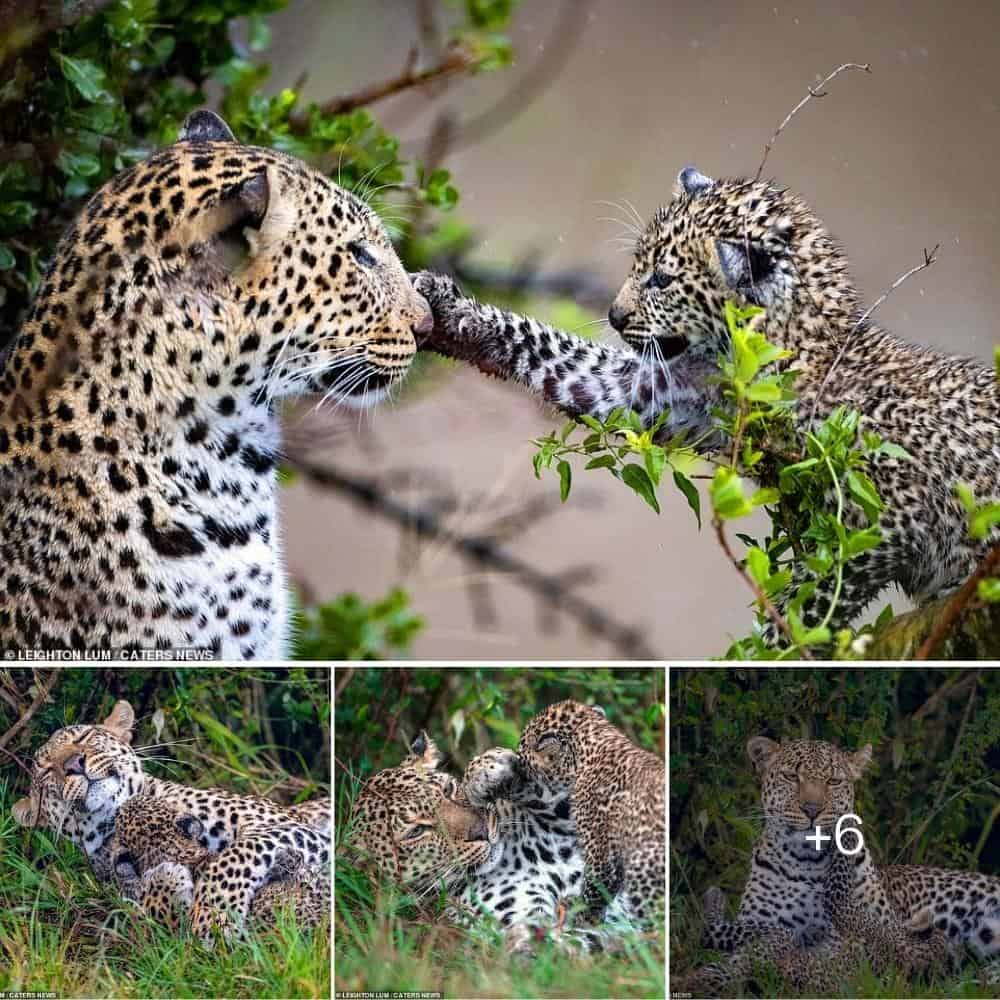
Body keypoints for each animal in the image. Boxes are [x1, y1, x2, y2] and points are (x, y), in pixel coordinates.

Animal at [11, 698, 331, 939]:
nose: (73, 764)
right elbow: (153, 911)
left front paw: (213, 915)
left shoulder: (293, 826)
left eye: (84, 737)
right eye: (46, 770)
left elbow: (233, 856)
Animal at [414, 165, 1000, 632]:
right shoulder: (667, 393)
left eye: (662, 279)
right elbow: (558, 356)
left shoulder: (884, 525)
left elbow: (803, 610)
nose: (614, 315)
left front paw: (777, 653)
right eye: (638, 265)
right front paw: (453, 308)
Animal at [678, 736, 999, 995]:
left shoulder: (872, 934)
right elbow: (737, 955)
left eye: (833, 781)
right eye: (791, 777)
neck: (808, 862)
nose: (812, 809)